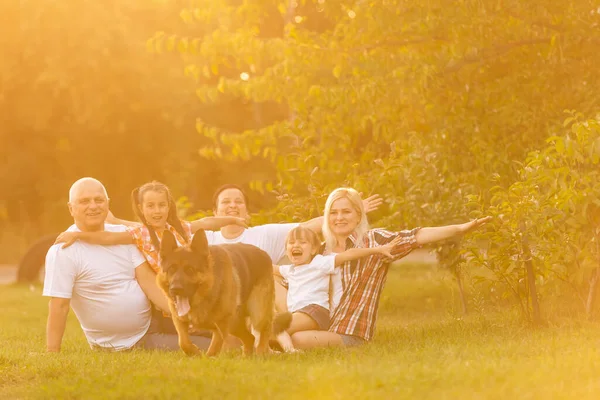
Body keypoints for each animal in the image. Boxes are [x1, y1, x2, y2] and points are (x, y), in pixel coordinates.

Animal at [157, 228, 288, 356]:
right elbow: (183, 342)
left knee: (264, 330)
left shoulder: (224, 324)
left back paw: (261, 352)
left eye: (190, 269)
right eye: (171, 269)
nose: (175, 289)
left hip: (257, 313)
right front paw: (194, 352)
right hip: (233, 324)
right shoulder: (178, 319)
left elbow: (221, 345)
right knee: (248, 338)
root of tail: (264, 253)